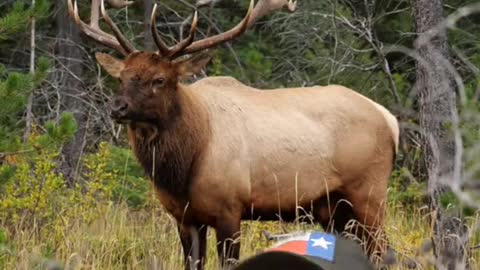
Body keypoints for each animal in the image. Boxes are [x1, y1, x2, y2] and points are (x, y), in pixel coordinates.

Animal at [66, 0, 398, 268]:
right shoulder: (184, 218)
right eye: (122, 77)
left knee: (383, 250)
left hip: (369, 193)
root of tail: (389, 118)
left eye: (159, 79)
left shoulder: (230, 209)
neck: (184, 165)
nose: (117, 106)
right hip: (332, 207)